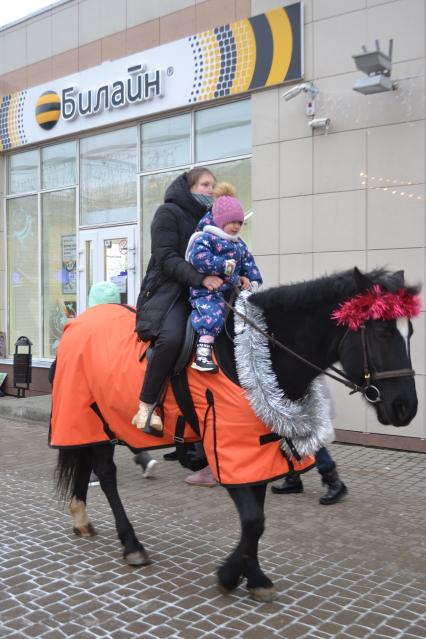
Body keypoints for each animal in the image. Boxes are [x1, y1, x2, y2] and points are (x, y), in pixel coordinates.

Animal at [53, 268, 420, 604]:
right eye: (382, 331)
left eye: (410, 331)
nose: (406, 407)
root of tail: (76, 323)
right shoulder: (228, 446)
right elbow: (254, 520)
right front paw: (230, 574)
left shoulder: (257, 451)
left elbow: (255, 519)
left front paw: (252, 576)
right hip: (89, 415)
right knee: (106, 474)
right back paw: (131, 543)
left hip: (97, 423)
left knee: (87, 462)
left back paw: (82, 516)